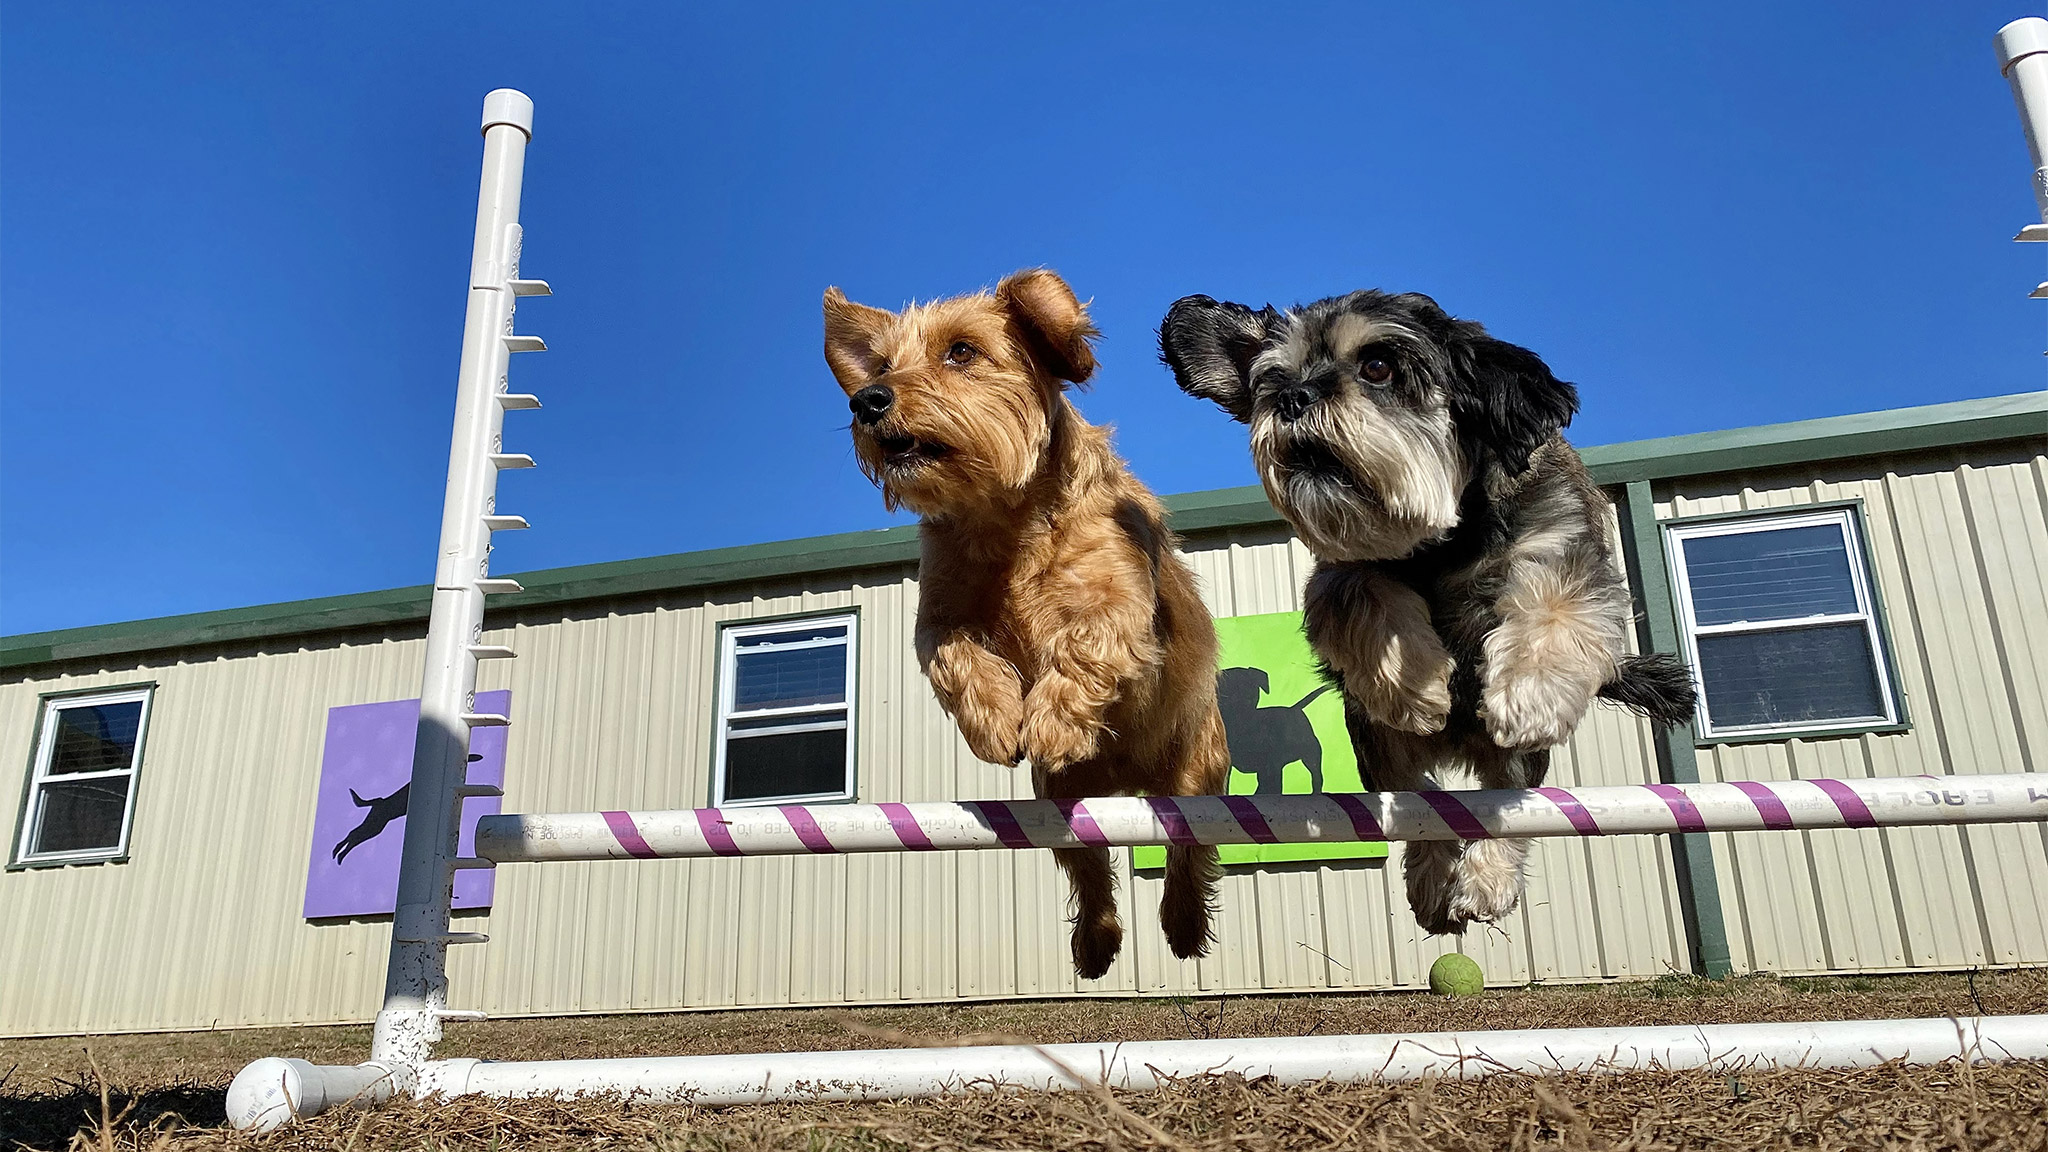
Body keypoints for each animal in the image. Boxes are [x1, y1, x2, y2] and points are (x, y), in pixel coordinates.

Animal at [819, 270, 1228, 975]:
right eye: (883, 366)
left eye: (961, 352)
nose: (867, 399)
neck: (1004, 520)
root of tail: (1127, 782)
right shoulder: (941, 617)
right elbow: (958, 658)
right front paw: (997, 723)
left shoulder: (1119, 603)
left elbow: (1083, 643)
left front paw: (1053, 721)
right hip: (1055, 806)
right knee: (1089, 869)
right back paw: (1095, 943)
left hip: (1198, 777)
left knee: (1187, 849)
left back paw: (1179, 923)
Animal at [1163, 286, 1687, 934]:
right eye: (1273, 379)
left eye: (1378, 366)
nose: (1292, 398)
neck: (1443, 544)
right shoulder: (1342, 570)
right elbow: (1365, 598)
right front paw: (1415, 688)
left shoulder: (1568, 549)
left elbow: (1556, 607)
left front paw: (1530, 692)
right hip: (1376, 743)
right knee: (1423, 806)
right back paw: (1436, 883)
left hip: (1508, 765)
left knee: (1503, 806)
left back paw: (1487, 880)